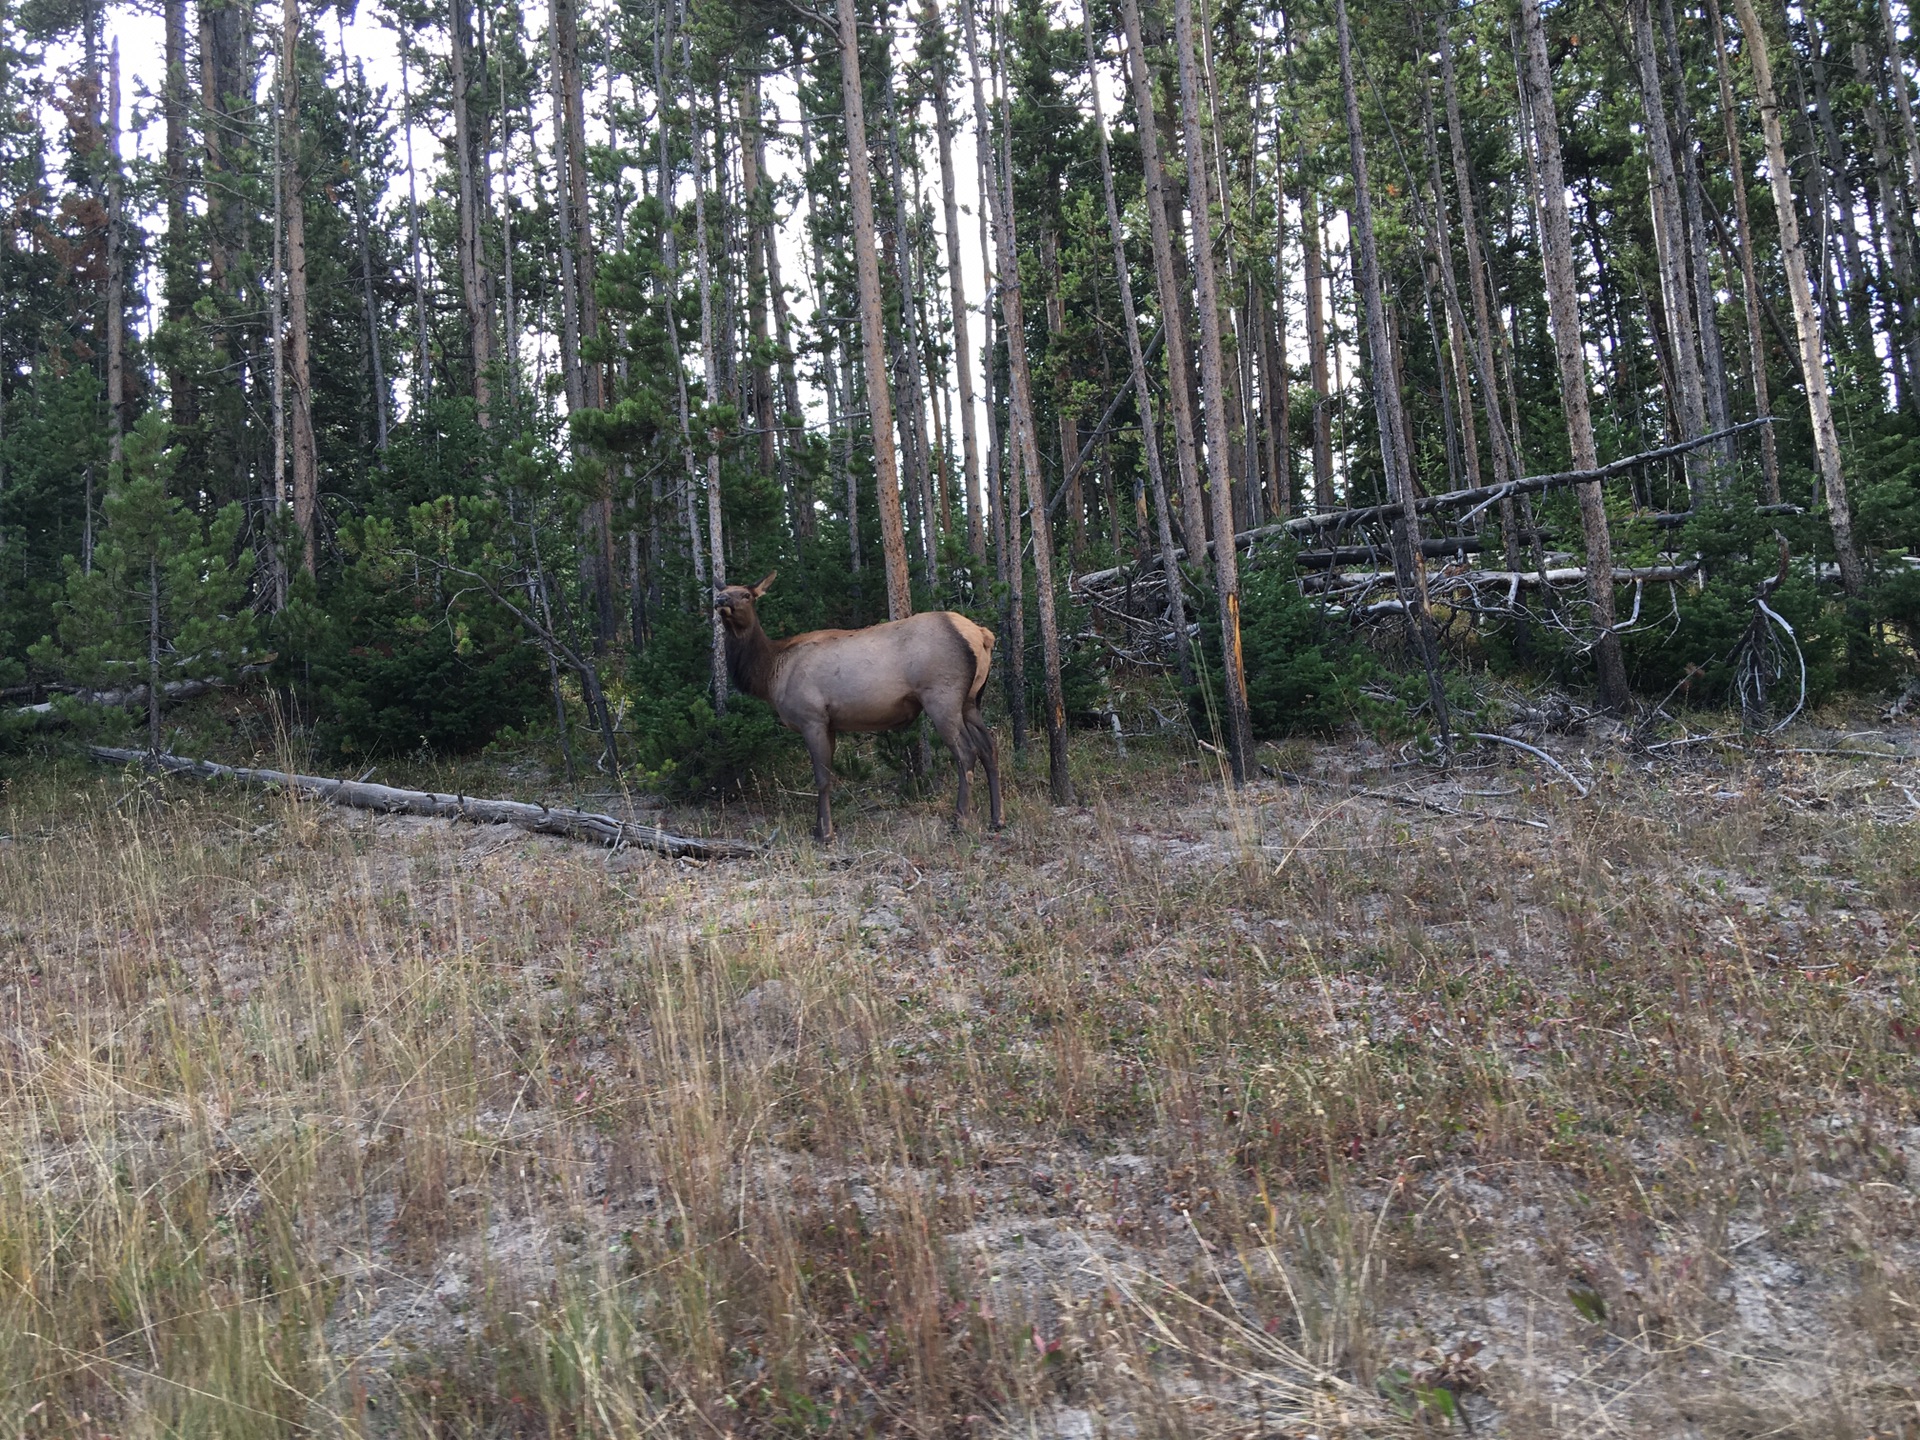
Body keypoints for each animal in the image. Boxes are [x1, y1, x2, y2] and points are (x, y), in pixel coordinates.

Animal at [710, 576, 1006, 844]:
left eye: (746, 595)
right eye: (723, 590)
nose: (720, 600)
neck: (771, 674)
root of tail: (982, 635)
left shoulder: (812, 717)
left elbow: (821, 778)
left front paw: (826, 834)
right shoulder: (829, 723)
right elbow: (828, 775)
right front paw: (818, 829)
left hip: (942, 695)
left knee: (966, 752)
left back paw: (960, 821)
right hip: (971, 700)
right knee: (989, 747)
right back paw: (997, 819)